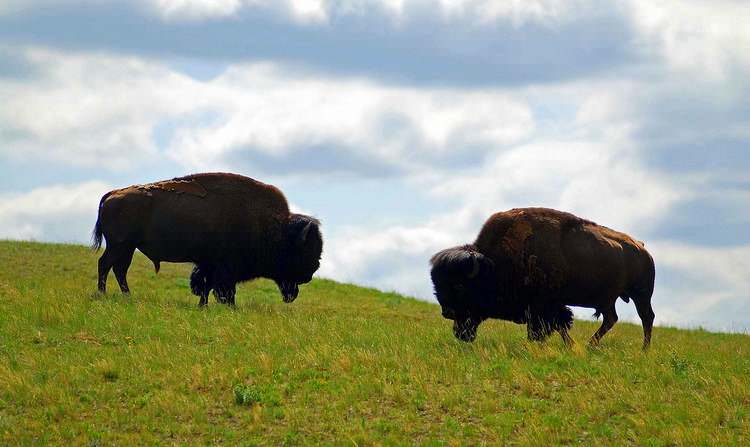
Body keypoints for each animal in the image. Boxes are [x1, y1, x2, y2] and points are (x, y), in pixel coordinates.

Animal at [91, 173, 324, 306]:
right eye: (303, 251)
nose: (310, 273)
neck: (272, 227)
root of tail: (112, 193)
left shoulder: (209, 265)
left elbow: (205, 285)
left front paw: (204, 305)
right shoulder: (223, 269)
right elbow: (219, 288)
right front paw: (227, 306)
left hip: (127, 248)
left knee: (118, 269)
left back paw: (126, 296)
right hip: (119, 245)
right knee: (105, 265)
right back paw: (104, 294)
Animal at [432, 208, 656, 352]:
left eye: (459, 286)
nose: (446, 312)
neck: (494, 264)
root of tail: (642, 248)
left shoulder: (543, 306)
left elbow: (549, 326)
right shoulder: (548, 307)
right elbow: (560, 325)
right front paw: (571, 346)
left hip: (641, 295)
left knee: (646, 318)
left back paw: (643, 350)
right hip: (610, 300)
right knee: (612, 318)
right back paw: (590, 345)